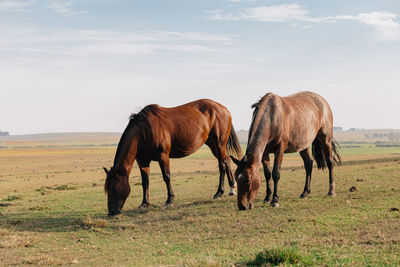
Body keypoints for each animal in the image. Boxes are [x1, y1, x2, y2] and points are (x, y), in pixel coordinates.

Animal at [103, 99, 242, 217]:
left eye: (113, 188)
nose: (111, 212)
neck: (143, 131)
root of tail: (224, 109)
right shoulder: (143, 161)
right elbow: (145, 182)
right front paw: (144, 204)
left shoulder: (163, 156)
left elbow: (166, 177)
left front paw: (170, 199)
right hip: (213, 145)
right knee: (226, 161)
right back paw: (232, 188)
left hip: (219, 144)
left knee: (222, 165)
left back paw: (219, 192)